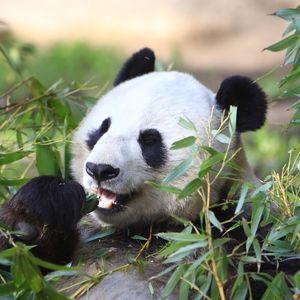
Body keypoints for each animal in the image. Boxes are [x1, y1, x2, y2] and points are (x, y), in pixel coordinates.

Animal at [0, 48, 274, 298]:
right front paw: (41, 208)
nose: (100, 170)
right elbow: (19, 264)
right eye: (102, 129)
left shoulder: (247, 234)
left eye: (150, 140)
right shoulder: (84, 234)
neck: (143, 231)